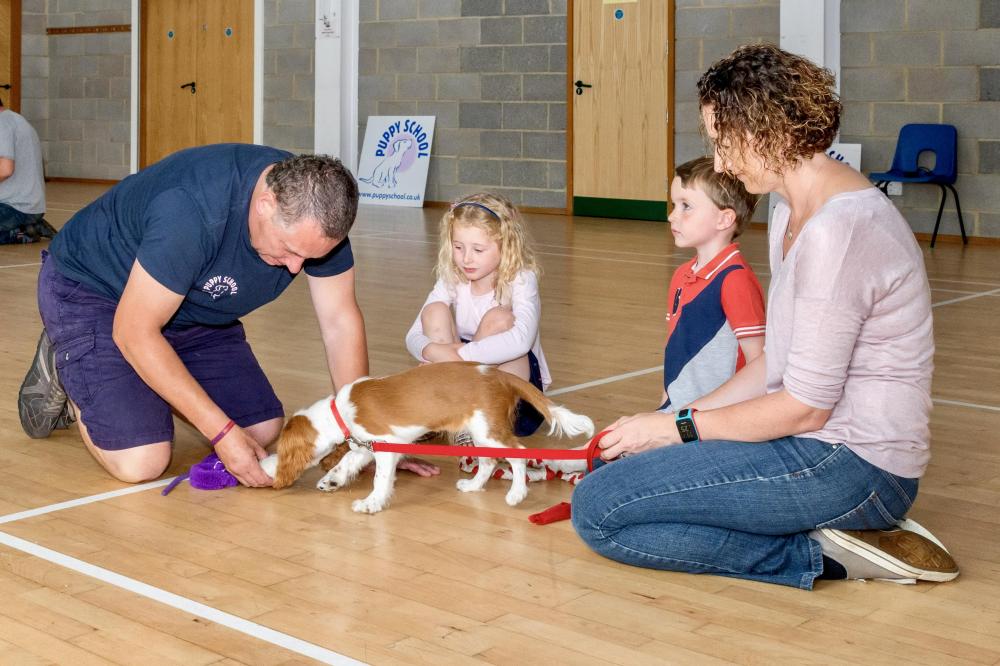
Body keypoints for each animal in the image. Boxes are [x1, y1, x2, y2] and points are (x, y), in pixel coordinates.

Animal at [262, 360, 596, 510]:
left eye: (281, 450)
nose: (268, 466)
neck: (339, 410)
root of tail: (498, 373)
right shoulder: (366, 445)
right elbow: (346, 463)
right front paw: (331, 480)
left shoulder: (385, 446)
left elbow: (379, 479)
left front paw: (372, 503)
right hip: (478, 431)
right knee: (489, 463)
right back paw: (473, 486)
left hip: (490, 431)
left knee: (518, 458)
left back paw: (516, 493)